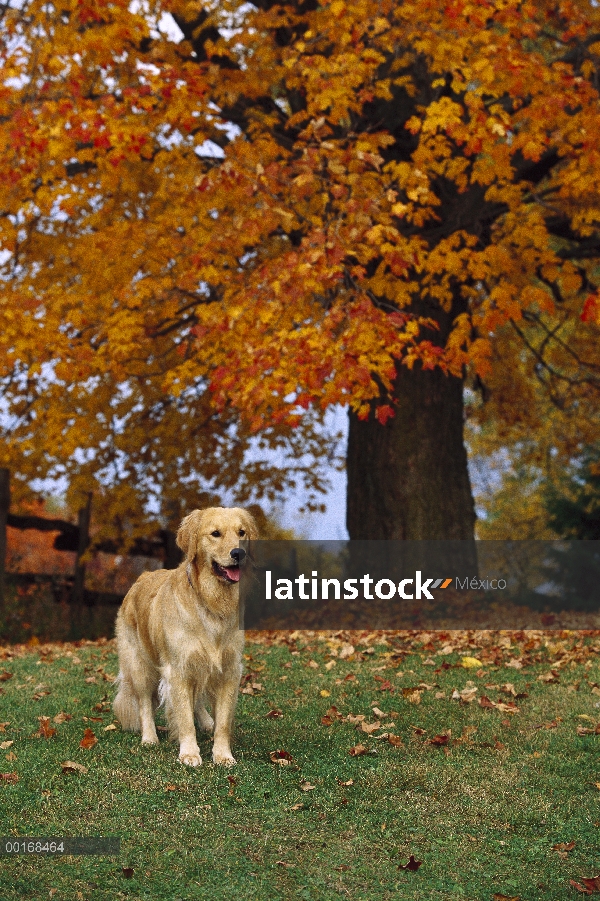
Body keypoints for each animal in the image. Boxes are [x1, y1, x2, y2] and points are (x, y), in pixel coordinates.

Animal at [113, 506, 256, 768]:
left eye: (241, 532)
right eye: (215, 533)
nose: (238, 553)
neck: (211, 602)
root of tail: (142, 576)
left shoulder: (229, 670)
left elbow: (223, 723)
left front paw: (223, 754)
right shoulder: (178, 669)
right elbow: (184, 718)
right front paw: (189, 753)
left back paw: (207, 722)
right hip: (139, 665)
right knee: (144, 703)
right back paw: (149, 737)